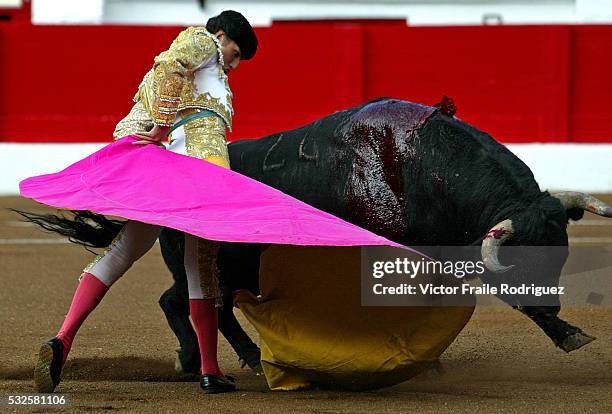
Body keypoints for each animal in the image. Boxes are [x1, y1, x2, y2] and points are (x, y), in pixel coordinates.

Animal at [21, 98, 608, 374]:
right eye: (525, 264)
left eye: (560, 257)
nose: (552, 305)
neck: (422, 168)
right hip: (208, 260)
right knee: (190, 302)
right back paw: (214, 359)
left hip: (228, 265)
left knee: (192, 302)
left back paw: (219, 359)